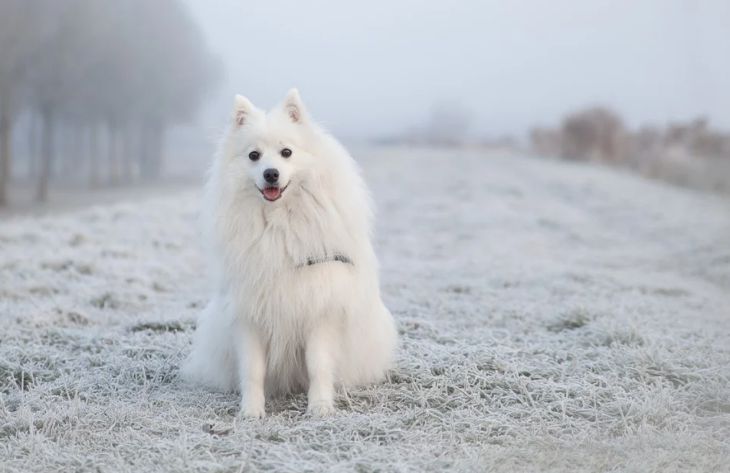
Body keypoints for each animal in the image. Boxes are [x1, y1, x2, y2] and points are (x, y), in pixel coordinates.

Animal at [183, 88, 398, 416]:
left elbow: (318, 364)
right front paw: (251, 412)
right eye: (254, 155)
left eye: (286, 152)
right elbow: (252, 369)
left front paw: (320, 408)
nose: (271, 174)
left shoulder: (320, 309)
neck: (278, 225)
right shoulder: (249, 314)